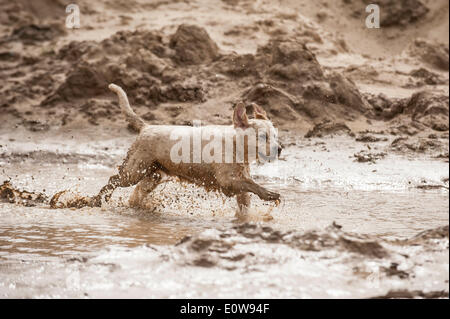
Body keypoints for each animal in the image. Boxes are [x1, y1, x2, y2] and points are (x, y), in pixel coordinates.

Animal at [85, 84, 282, 216]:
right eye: (263, 136)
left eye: (275, 135)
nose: (279, 149)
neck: (235, 145)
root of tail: (146, 127)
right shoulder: (228, 181)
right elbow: (252, 185)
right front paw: (269, 194)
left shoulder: (239, 188)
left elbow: (246, 200)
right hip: (133, 171)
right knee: (113, 180)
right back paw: (96, 200)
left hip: (153, 175)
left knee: (136, 194)